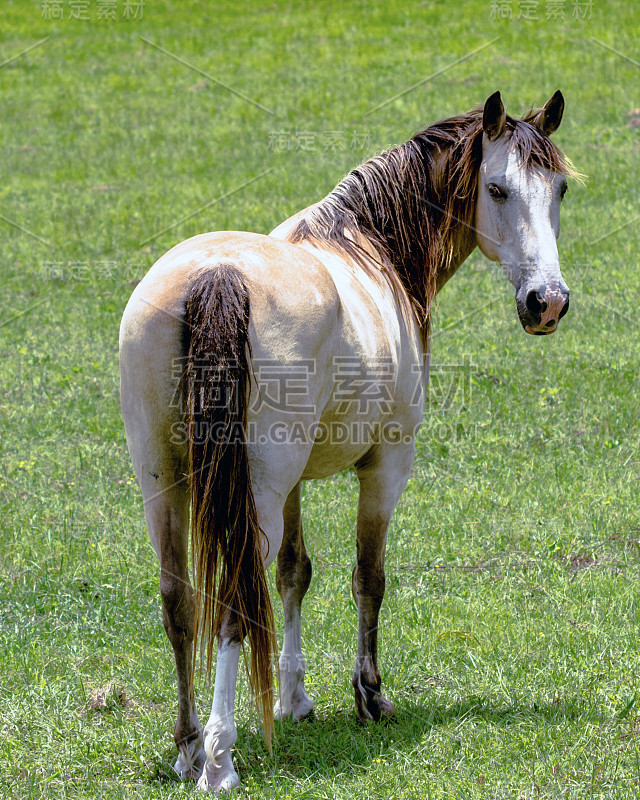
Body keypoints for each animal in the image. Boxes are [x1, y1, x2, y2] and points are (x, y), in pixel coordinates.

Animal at [119, 90, 576, 792]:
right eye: (497, 188)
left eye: (558, 189)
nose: (546, 302)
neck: (371, 250)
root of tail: (215, 279)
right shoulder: (385, 467)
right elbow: (369, 577)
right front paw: (370, 694)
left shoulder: (294, 487)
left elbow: (294, 574)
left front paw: (294, 699)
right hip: (250, 494)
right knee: (230, 605)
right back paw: (220, 761)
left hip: (164, 483)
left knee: (180, 603)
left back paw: (190, 746)